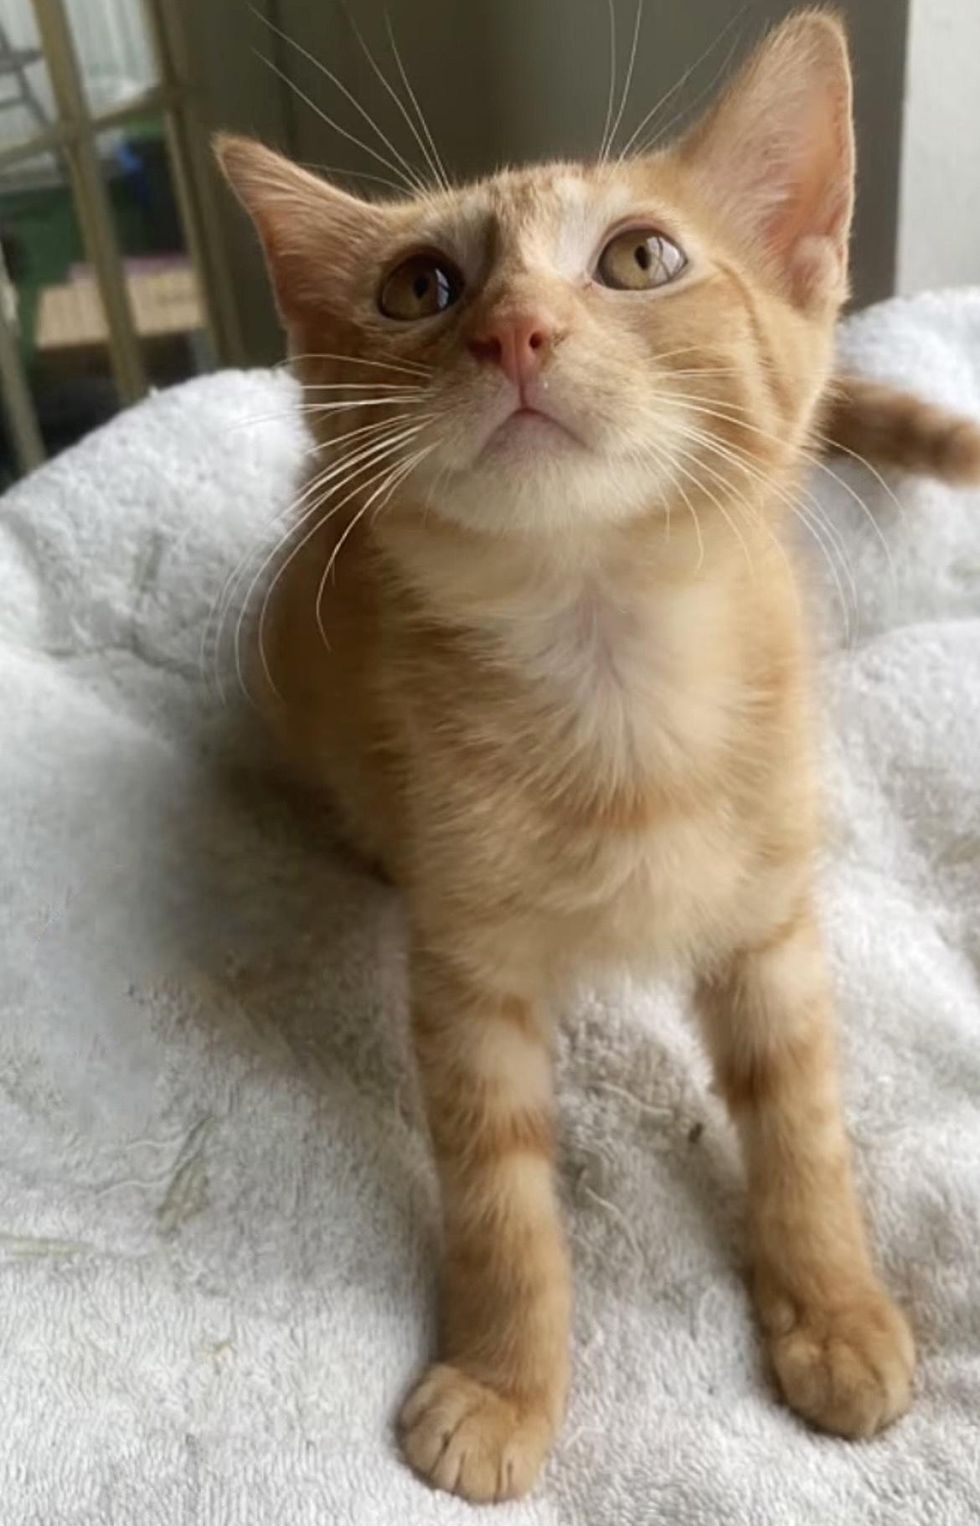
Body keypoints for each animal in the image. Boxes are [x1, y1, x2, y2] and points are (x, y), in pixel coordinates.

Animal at [216, 11, 976, 1507]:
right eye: (419, 284)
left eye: (639, 257)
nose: (513, 329)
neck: (613, 677)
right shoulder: (464, 971)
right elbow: (497, 1192)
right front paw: (506, 1386)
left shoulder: (771, 916)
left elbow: (802, 1116)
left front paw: (835, 1306)